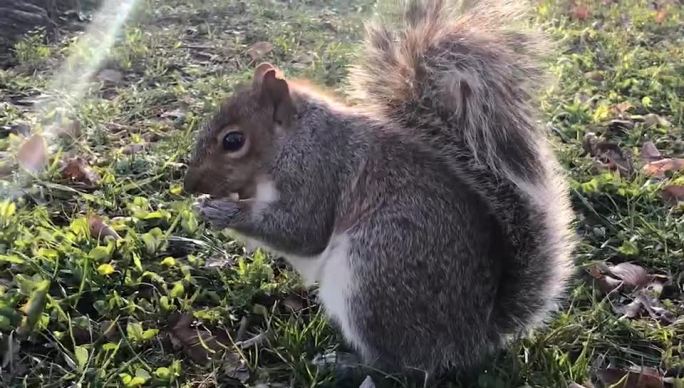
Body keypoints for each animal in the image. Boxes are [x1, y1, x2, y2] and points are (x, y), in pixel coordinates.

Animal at [183, 0, 576, 382]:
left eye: (233, 141)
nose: (189, 185)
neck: (295, 138)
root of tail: (473, 336)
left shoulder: (318, 171)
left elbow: (301, 230)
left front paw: (223, 212)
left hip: (373, 274)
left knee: (403, 366)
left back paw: (346, 365)